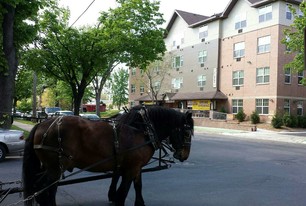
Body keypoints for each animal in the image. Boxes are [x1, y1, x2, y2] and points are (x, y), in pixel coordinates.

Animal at [22, 105, 194, 205]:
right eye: (187, 133)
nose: (184, 155)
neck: (143, 130)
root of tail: (41, 124)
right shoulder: (130, 169)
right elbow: (123, 191)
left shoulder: (136, 166)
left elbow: (138, 185)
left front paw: (140, 203)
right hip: (55, 167)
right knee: (43, 189)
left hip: (51, 167)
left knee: (44, 188)